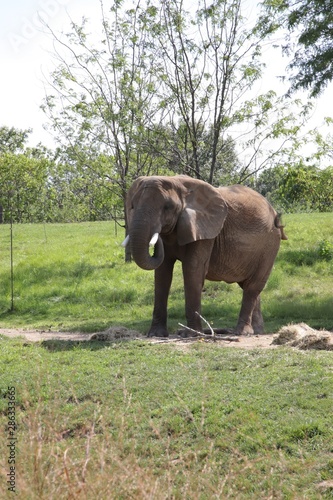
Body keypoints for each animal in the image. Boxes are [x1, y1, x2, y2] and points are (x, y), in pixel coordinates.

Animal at [122, 175, 286, 336]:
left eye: (167, 207)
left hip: (270, 244)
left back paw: (242, 332)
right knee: (248, 286)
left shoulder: (205, 230)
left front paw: (191, 335)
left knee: (253, 286)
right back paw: (256, 331)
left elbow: (192, 269)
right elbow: (162, 272)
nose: (157, 238)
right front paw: (156, 335)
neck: (178, 183)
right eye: (132, 206)